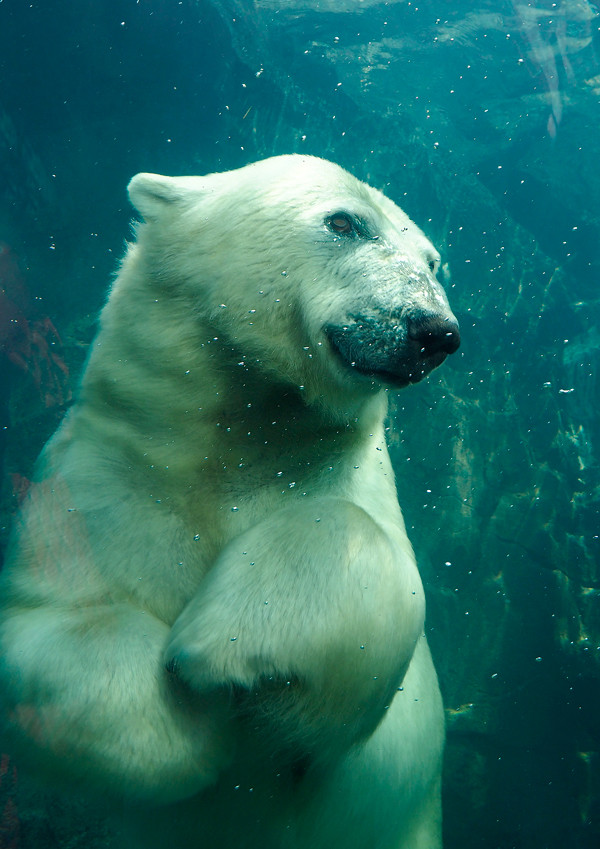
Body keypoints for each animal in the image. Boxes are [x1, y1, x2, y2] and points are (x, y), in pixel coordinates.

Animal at [1, 154, 460, 848]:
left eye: (432, 263)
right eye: (345, 222)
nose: (433, 329)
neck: (239, 442)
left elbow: (378, 595)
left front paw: (217, 647)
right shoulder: (103, 486)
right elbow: (46, 622)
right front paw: (174, 727)